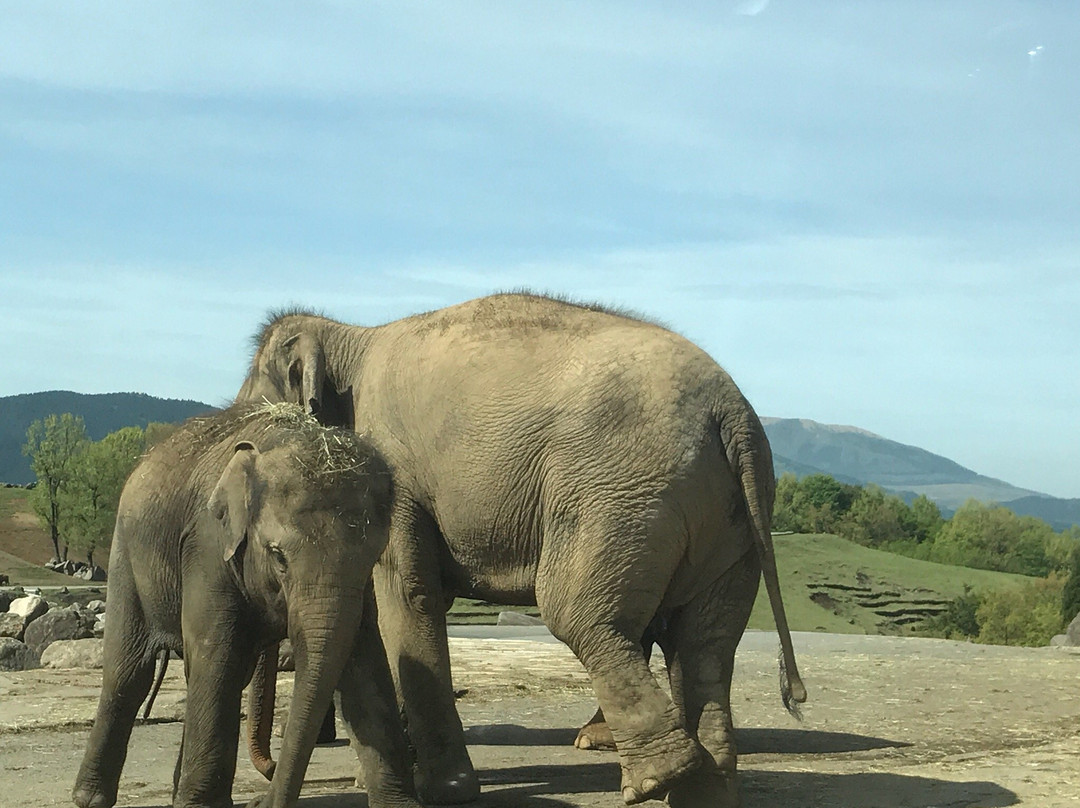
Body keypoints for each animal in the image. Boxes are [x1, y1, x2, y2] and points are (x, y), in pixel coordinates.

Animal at [71, 406, 421, 808]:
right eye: (277, 556)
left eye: (372, 558)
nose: (260, 799)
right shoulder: (208, 546)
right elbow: (217, 654)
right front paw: (197, 805)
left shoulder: (358, 591)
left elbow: (364, 663)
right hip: (126, 554)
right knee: (128, 673)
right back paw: (90, 799)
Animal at [240, 293, 807, 803]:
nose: (268, 774)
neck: (348, 336)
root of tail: (732, 410)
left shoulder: (394, 475)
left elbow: (407, 597)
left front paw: (445, 791)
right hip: (731, 522)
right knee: (705, 643)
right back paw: (700, 788)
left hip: (618, 496)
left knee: (579, 614)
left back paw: (653, 778)